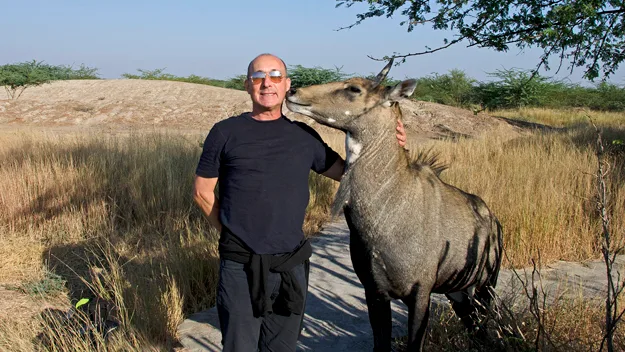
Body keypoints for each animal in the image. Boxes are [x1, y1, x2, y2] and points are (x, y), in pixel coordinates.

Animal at [286, 61, 502, 352]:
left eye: (354, 89)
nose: (293, 91)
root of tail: (494, 222)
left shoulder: (420, 293)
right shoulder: (375, 292)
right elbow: (381, 344)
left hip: (484, 289)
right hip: (459, 295)